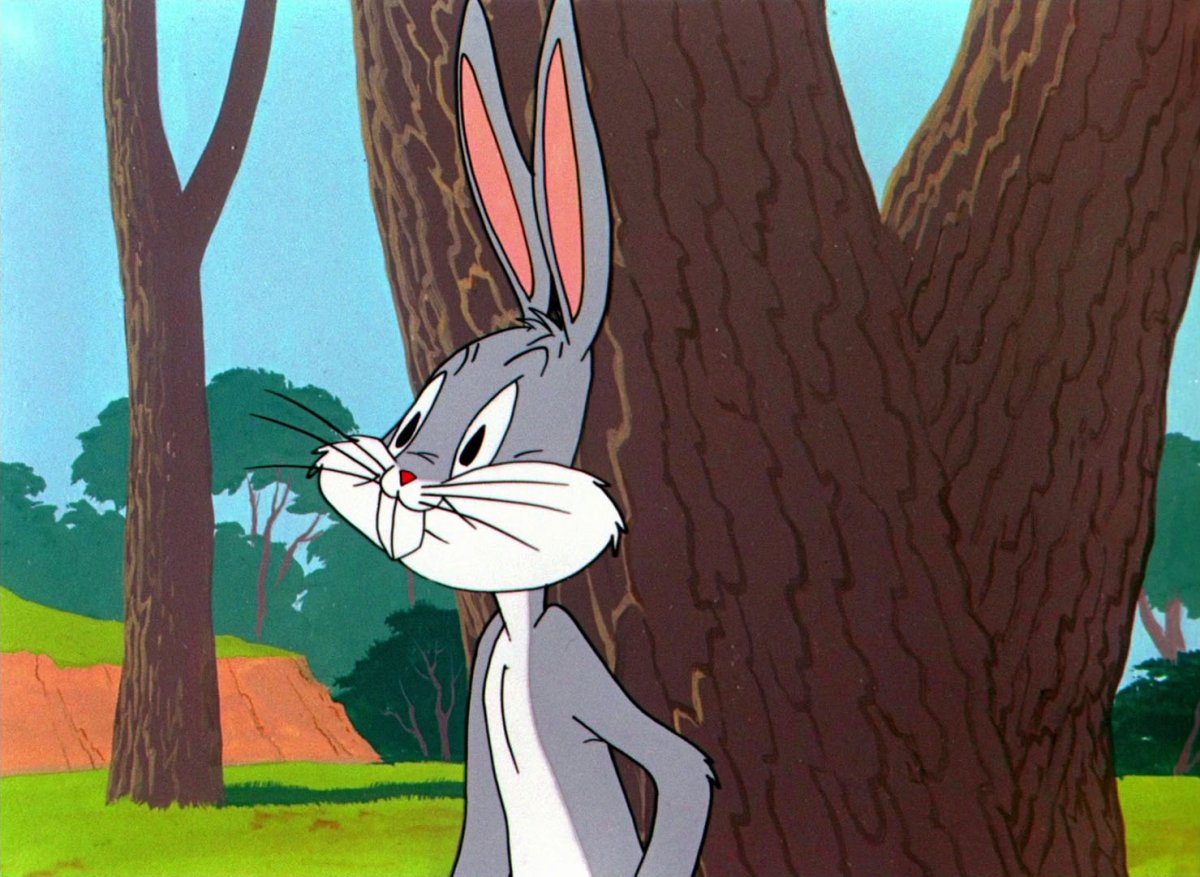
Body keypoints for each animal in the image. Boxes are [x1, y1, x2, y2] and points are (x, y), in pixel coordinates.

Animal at [311, 0, 714, 875]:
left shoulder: (571, 661)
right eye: (411, 422)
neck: (518, 633)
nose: (403, 478)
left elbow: (684, 772)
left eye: (480, 443)